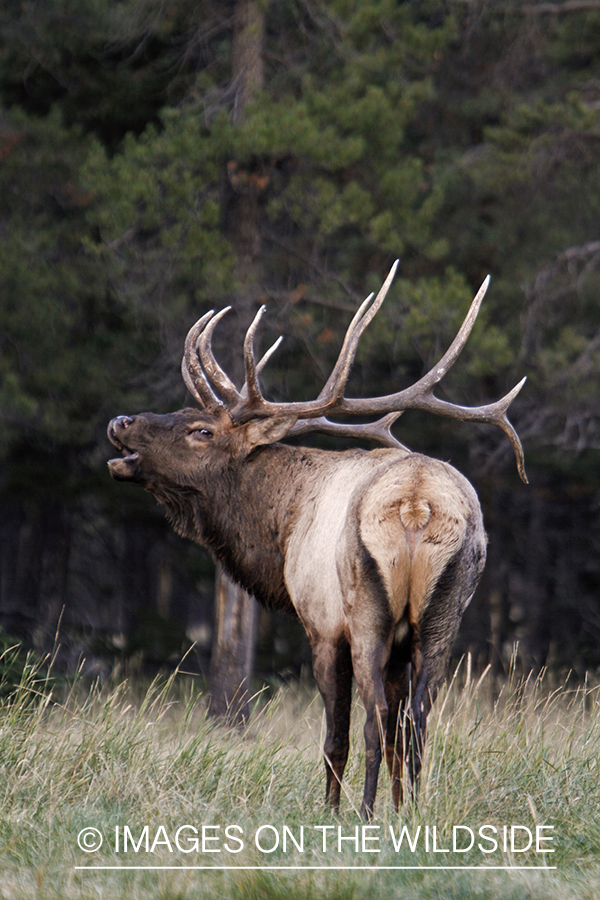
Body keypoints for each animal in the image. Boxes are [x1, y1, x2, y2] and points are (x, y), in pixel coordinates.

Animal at [108, 262, 524, 824]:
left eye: (201, 430)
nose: (121, 422)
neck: (281, 531)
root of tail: (417, 503)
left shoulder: (322, 625)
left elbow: (335, 735)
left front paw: (331, 810)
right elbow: (399, 730)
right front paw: (400, 809)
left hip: (367, 611)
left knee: (373, 721)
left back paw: (365, 812)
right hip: (444, 615)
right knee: (414, 723)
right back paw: (412, 811)